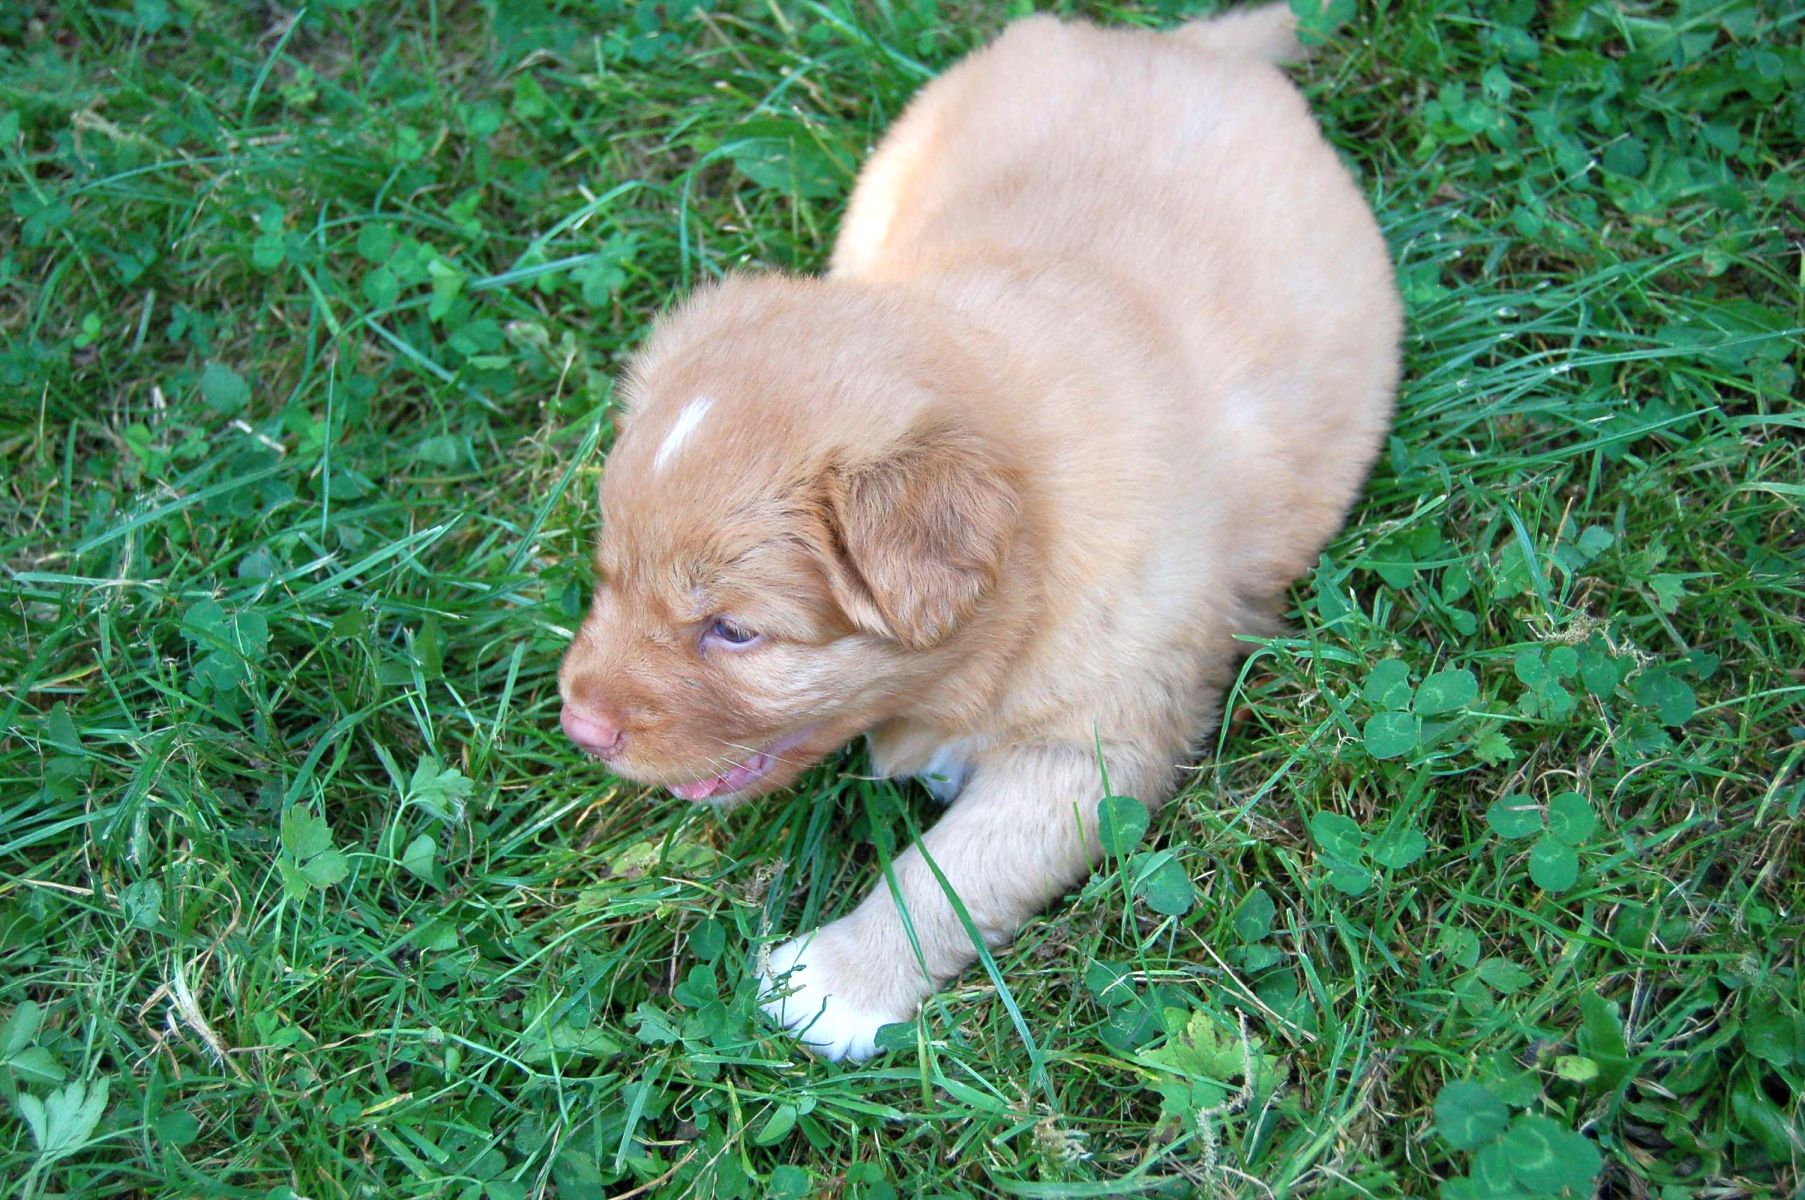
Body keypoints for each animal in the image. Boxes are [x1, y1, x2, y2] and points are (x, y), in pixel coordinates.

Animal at [558, 2, 1401, 1061]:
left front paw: (832, 985)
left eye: (735, 632)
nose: (577, 727)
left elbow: (951, 872)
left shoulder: (1096, 745)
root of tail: (1191, 45)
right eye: (606, 577)